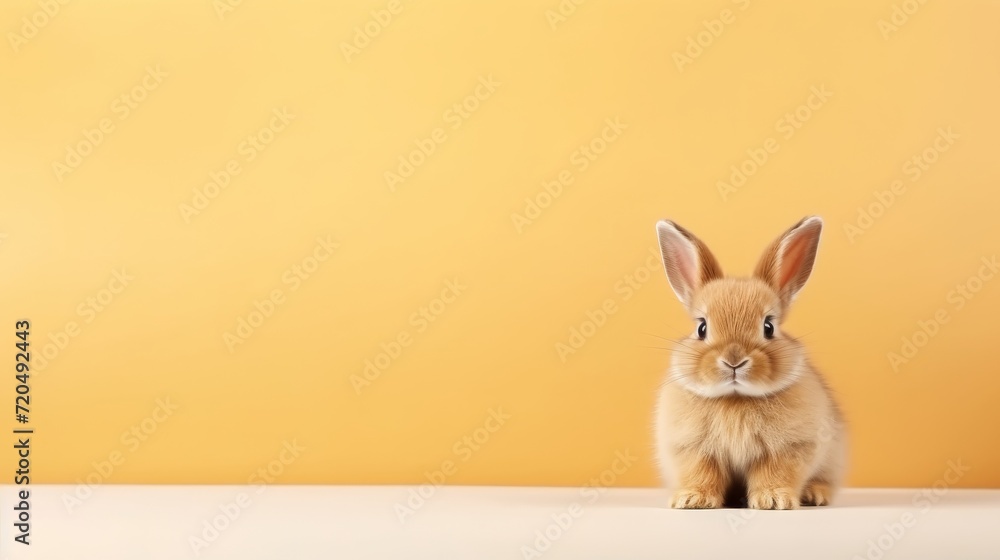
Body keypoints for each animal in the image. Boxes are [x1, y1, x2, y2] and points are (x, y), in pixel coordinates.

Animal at [652, 216, 847, 509]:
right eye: (701, 328)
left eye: (769, 327)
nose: (734, 360)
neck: (735, 398)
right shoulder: (693, 450)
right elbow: (702, 473)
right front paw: (693, 499)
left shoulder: (787, 448)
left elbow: (773, 473)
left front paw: (773, 500)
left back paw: (815, 495)